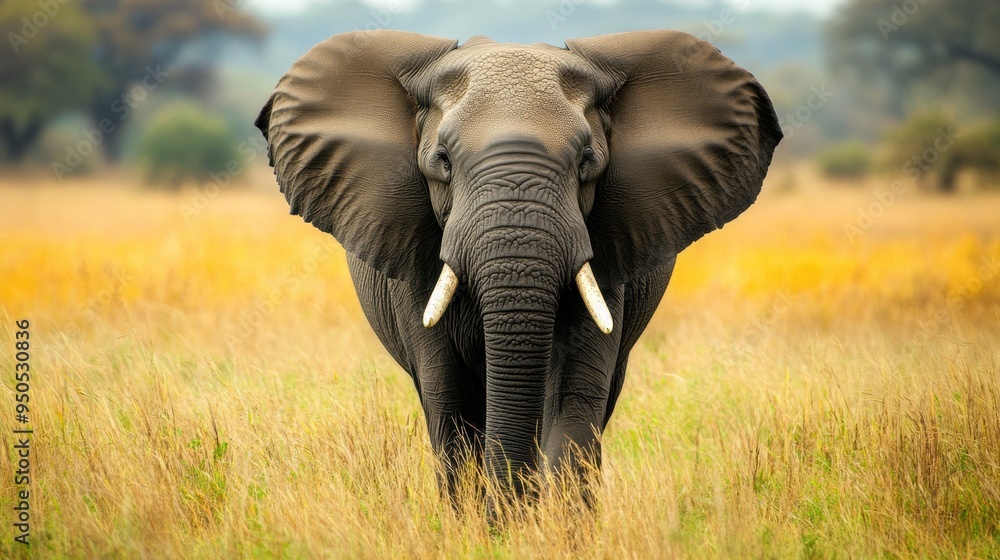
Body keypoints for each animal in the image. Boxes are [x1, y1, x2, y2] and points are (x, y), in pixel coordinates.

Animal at [255, 29, 781, 502]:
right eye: (443, 161)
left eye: (587, 161)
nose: (511, 507)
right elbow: (449, 401)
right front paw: (483, 528)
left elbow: (573, 396)